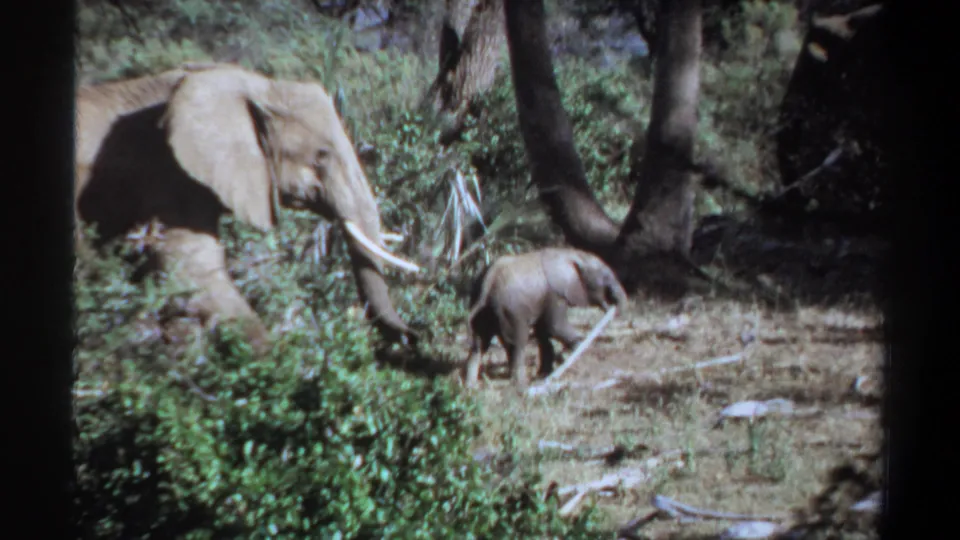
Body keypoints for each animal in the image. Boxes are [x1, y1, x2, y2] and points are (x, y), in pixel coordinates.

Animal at [463, 247, 629, 389]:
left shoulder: (543, 298)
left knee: (479, 344)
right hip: (509, 310)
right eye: (606, 277)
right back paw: (522, 385)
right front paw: (574, 352)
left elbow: (543, 333)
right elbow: (554, 327)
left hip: (483, 309)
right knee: (516, 343)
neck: (572, 254)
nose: (612, 308)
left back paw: (470, 386)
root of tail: (488, 281)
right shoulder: (554, 294)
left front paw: (544, 374)